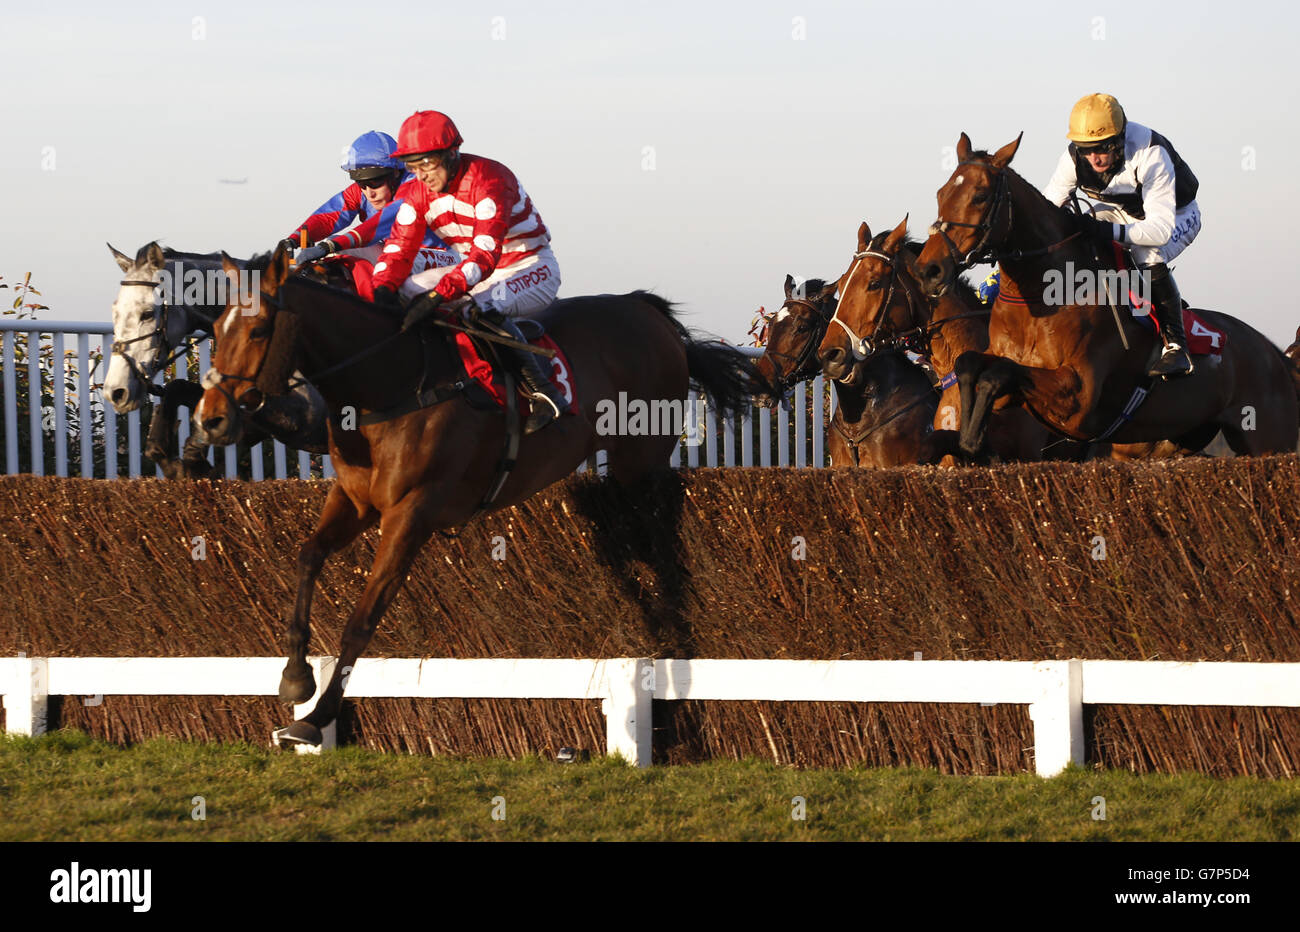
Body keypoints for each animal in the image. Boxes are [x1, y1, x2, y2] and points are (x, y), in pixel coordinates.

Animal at [195, 243, 759, 743]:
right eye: (217, 328)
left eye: (258, 329)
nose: (210, 419)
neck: (391, 383)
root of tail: (648, 311)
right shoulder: (355, 500)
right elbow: (307, 556)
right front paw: (296, 678)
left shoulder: (412, 512)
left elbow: (364, 616)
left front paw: (316, 718)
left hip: (639, 459)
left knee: (663, 545)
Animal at [915, 134, 1300, 457]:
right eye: (940, 194)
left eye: (979, 196)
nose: (927, 270)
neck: (1044, 295)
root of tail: (1275, 356)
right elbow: (971, 365)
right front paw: (968, 435)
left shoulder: (1078, 401)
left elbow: (998, 374)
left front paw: (971, 437)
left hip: (1269, 439)